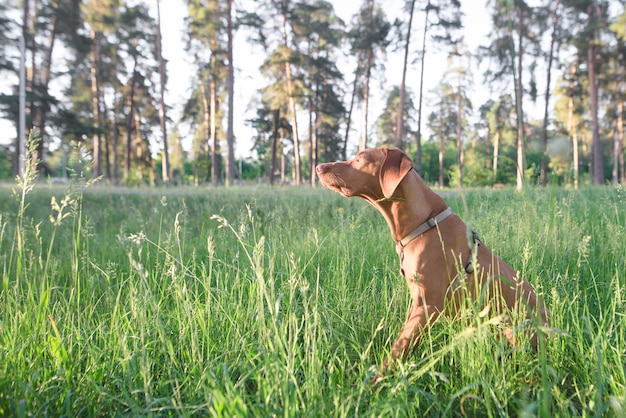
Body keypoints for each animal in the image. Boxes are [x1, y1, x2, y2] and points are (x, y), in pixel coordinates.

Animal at [316, 148, 544, 378]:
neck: (423, 222)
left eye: (360, 159)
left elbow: (399, 348)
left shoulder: (428, 304)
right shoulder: (417, 301)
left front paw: (378, 381)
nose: (319, 167)